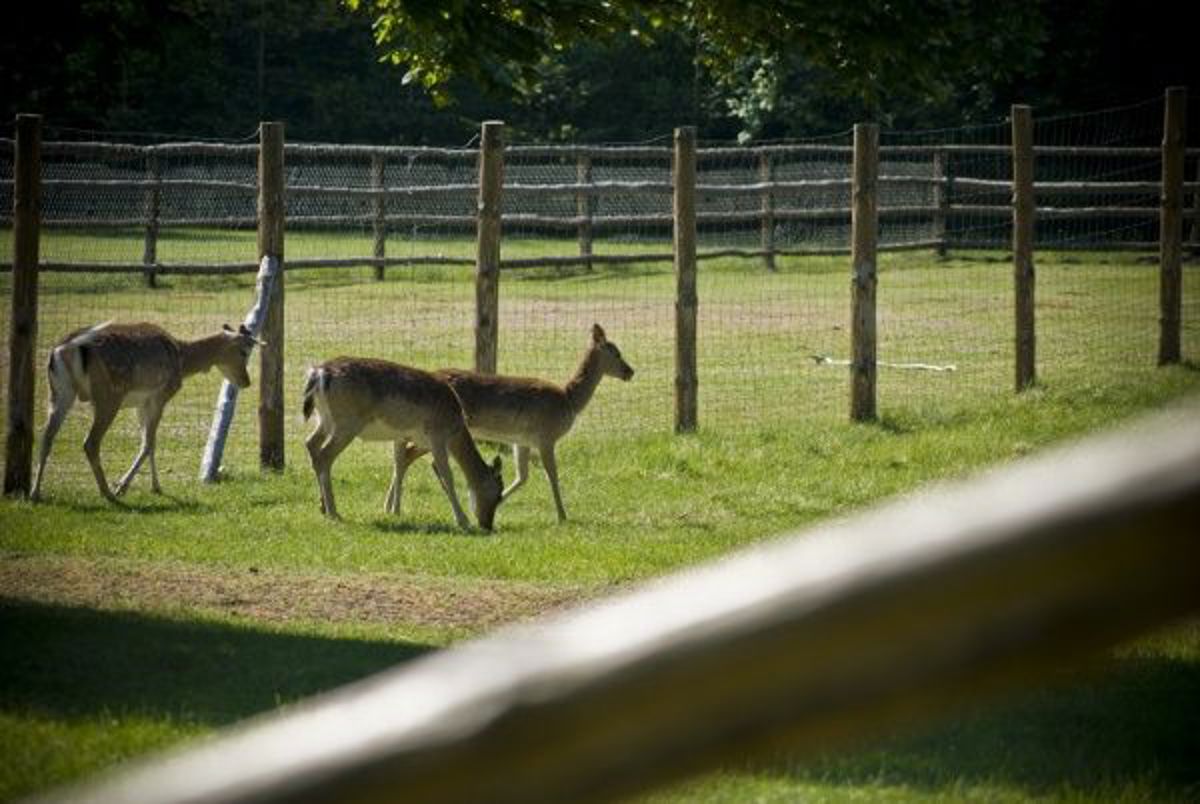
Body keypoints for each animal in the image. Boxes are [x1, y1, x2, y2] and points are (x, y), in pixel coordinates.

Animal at [31, 321, 260, 504]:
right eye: (244, 351)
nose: (246, 382)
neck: (182, 359)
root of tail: (66, 348)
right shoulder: (160, 396)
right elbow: (148, 443)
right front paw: (122, 487)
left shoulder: (141, 404)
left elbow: (150, 443)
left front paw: (156, 487)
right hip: (109, 395)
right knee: (90, 442)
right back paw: (107, 493)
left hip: (59, 391)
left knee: (46, 436)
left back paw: (35, 493)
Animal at [304, 357, 506, 532]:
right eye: (498, 494)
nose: (487, 525)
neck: (455, 429)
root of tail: (319, 372)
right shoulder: (437, 435)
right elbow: (447, 476)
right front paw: (463, 521)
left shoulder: (401, 436)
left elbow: (399, 466)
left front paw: (395, 511)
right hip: (347, 422)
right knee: (325, 455)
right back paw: (334, 513)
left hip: (324, 418)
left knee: (311, 444)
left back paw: (323, 507)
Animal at [391, 324, 638, 525]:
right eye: (616, 353)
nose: (630, 371)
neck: (569, 400)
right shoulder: (546, 436)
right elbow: (552, 474)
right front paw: (563, 515)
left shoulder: (522, 440)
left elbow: (522, 476)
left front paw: (499, 502)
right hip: (439, 430)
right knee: (409, 454)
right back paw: (393, 507)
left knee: (405, 453)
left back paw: (391, 507)